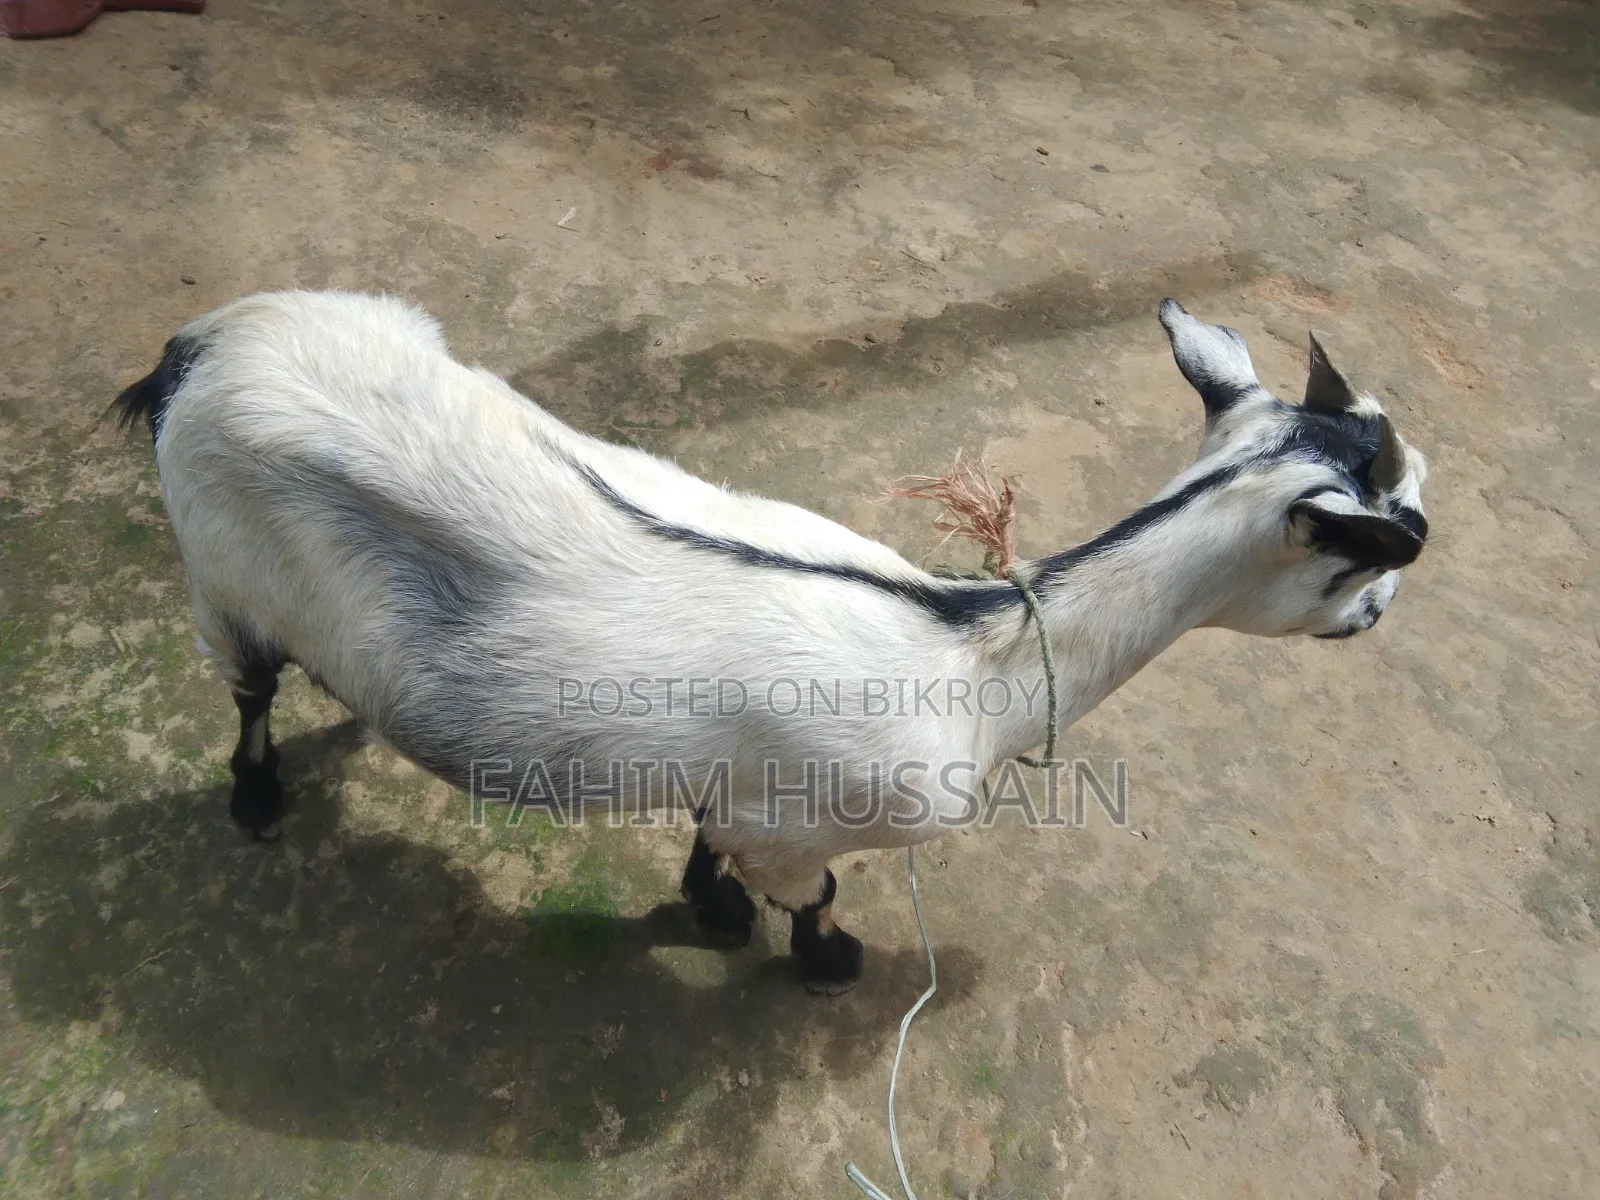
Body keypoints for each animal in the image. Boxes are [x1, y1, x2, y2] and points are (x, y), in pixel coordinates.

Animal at [113, 291, 1428, 993]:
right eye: (1385, 548)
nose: (1374, 621)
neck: (975, 659)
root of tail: (204, 344)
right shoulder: (811, 821)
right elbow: (822, 890)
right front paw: (822, 962)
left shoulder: (748, 786)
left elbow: (711, 836)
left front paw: (709, 906)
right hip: (217, 569)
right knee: (247, 688)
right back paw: (256, 798)